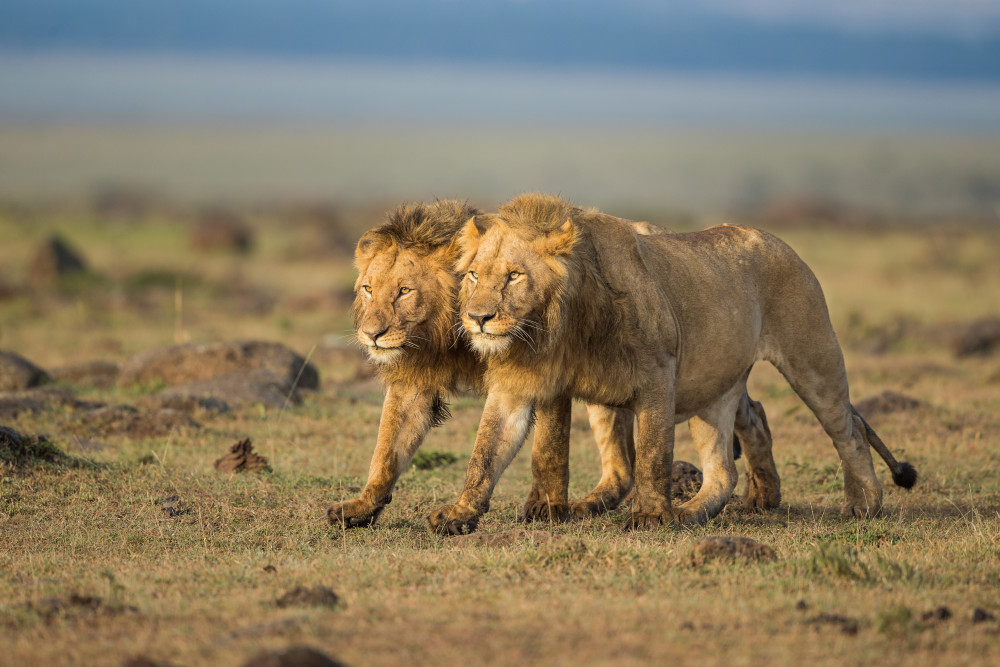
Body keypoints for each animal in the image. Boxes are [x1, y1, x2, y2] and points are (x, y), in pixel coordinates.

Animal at [426, 190, 916, 536]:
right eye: (474, 275)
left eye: (514, 276)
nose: (478, 318)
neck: (553, 329)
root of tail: (777, 240)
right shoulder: (524, 384)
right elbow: (498, 452)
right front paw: (466, 513)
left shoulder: (658, 376)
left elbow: (652, 454)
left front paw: (649, 516)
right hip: (710, 387)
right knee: (724, 459)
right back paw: (723, 504)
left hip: (810, 357)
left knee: (847, 430)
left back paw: (863, 504)